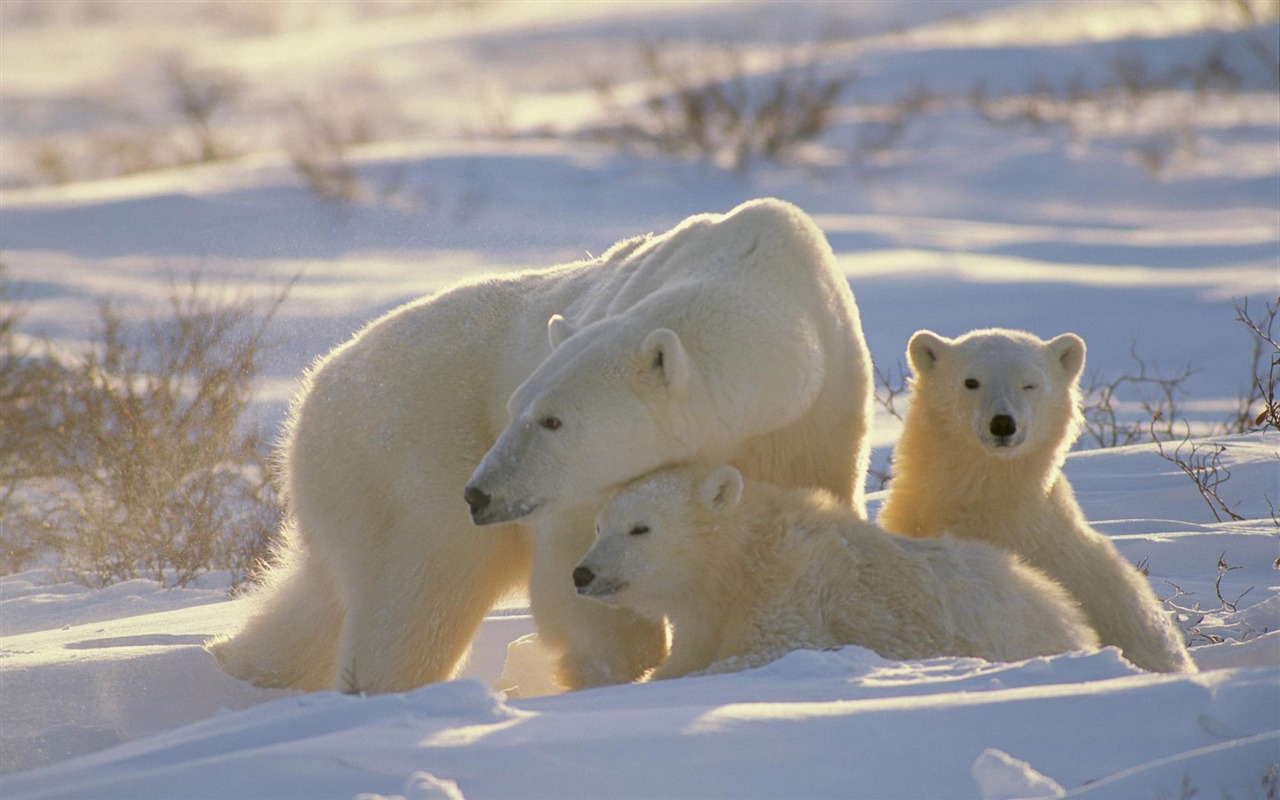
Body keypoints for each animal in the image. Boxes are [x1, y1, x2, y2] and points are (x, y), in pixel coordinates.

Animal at [212, 197, 880, 691]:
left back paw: (238, 664)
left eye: (552, 420)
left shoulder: (817, 418)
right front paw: (616, 669)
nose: (480, 493)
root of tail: (315, 386)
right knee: (420, 592)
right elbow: (577, 565)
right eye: (517, 407)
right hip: (404, 454)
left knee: (320, 598)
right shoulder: (581, 490)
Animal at [576, 458, 1095, 675]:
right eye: (599, 526)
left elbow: (774, 648)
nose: (582, 573)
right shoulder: (705, 614)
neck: (743, 558)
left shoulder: (792, 588)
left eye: (640, 528)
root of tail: (1071, 615)